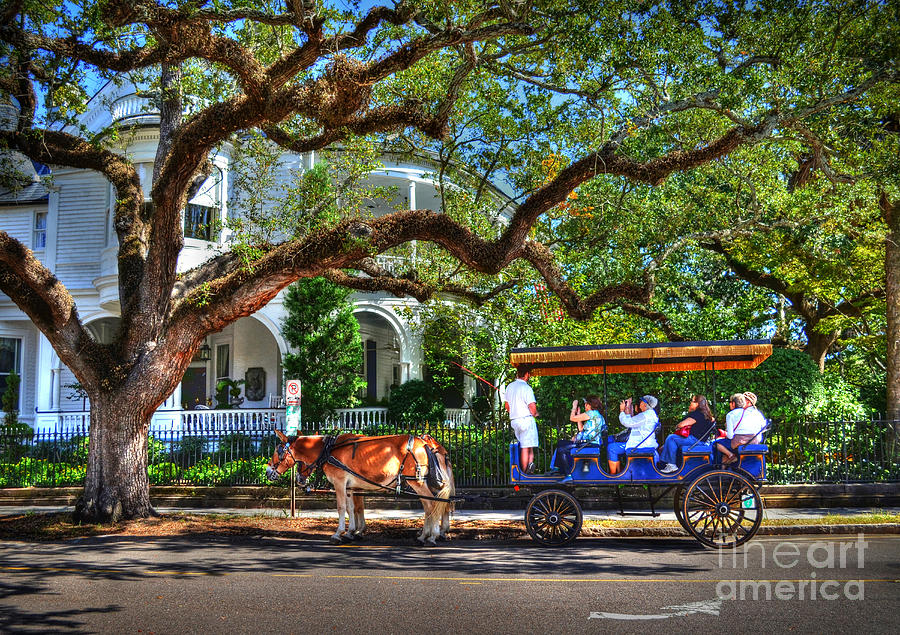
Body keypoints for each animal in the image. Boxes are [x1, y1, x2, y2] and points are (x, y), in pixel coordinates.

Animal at [264, 430, 454, 544]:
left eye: (277, 451)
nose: (267, 471)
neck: (328, 450)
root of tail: (426, 444)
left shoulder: (340, 483)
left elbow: (342, 508)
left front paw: (338, 533)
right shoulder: (350, 487)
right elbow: (352, 508)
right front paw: (351, 532)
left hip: (419, 482)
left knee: (432, 506)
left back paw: (431, 535)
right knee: (435, 506)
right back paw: (427, 534)